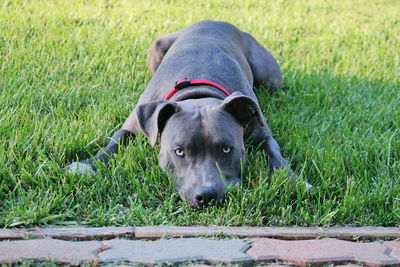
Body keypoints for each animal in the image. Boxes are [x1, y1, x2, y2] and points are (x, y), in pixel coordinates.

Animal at [68, 21, 294, 209]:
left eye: (226, 149)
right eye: (179, 151)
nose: (207, 196)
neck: (199, 92)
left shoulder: (262, 134)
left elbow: (275, 153)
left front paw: (291, 178)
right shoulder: (131, 126)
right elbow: (112, 144)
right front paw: (88, 165)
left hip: (269, 79)